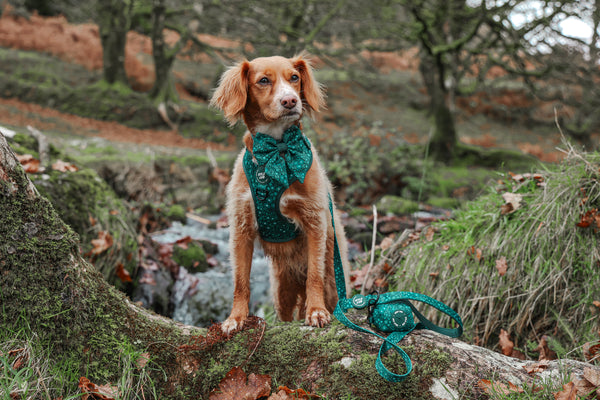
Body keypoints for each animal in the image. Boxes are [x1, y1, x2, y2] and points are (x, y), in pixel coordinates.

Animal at [212, 54, 350, 334]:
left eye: (294, 77)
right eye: (263, 80)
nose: (290, 101)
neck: (279, 150)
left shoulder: (315, 221)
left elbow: (314, 275)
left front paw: (316, 311)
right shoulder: (241, 228)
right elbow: (240, 281)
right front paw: (236, 318)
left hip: (334, 284)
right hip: (281, 291)